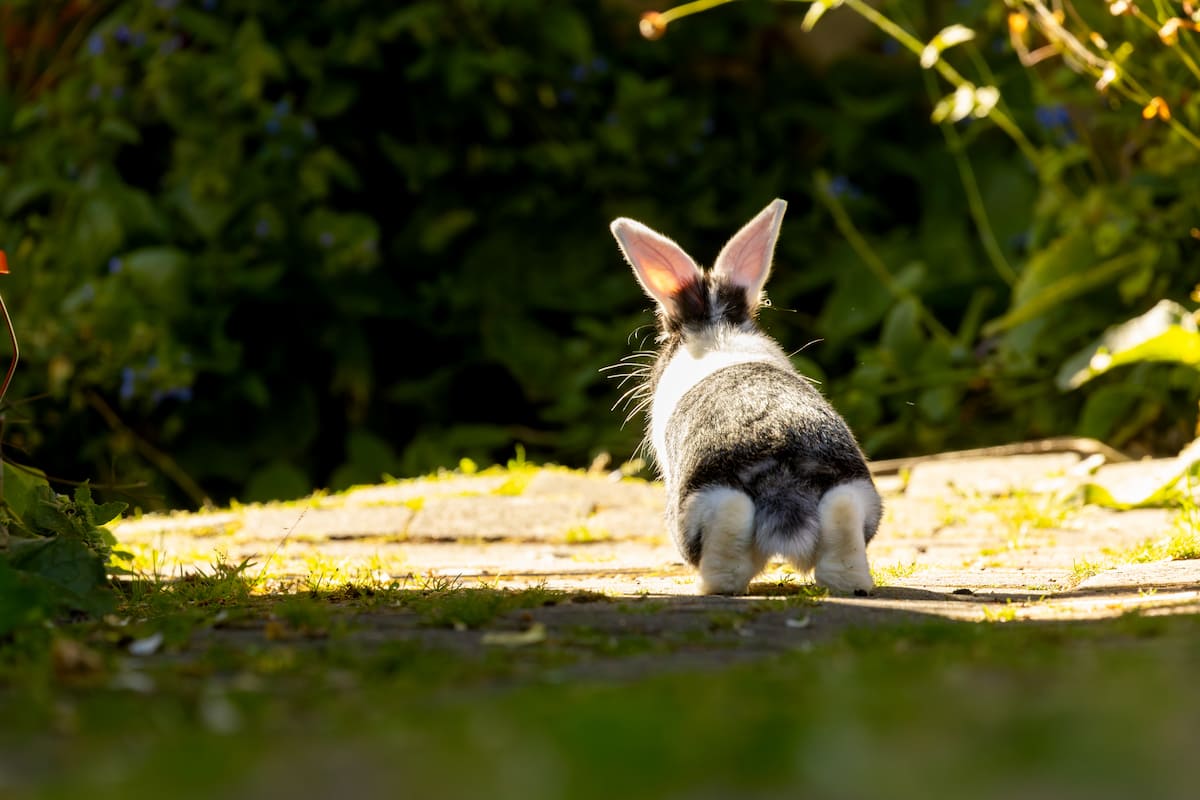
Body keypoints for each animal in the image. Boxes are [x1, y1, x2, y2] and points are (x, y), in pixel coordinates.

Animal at [608, 198, 881, 595]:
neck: (716, 329)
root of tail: (781, 471)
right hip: (853, 494)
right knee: (843, 527)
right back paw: (852, 587)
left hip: (704, 505)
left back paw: (710, 589)